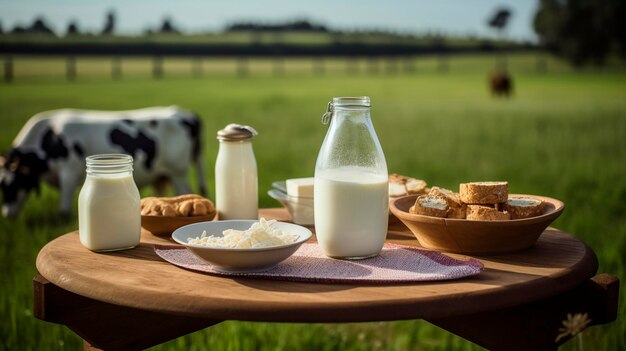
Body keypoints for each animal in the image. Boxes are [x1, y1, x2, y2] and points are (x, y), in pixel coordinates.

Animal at [0, 106, 207, 219]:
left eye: (12, 185)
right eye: (2, 186)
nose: (6, 214)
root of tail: (184, 113)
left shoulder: (68, 173)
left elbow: (63, 212)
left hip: (178, 172)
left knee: (185, 191)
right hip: (163, 175)